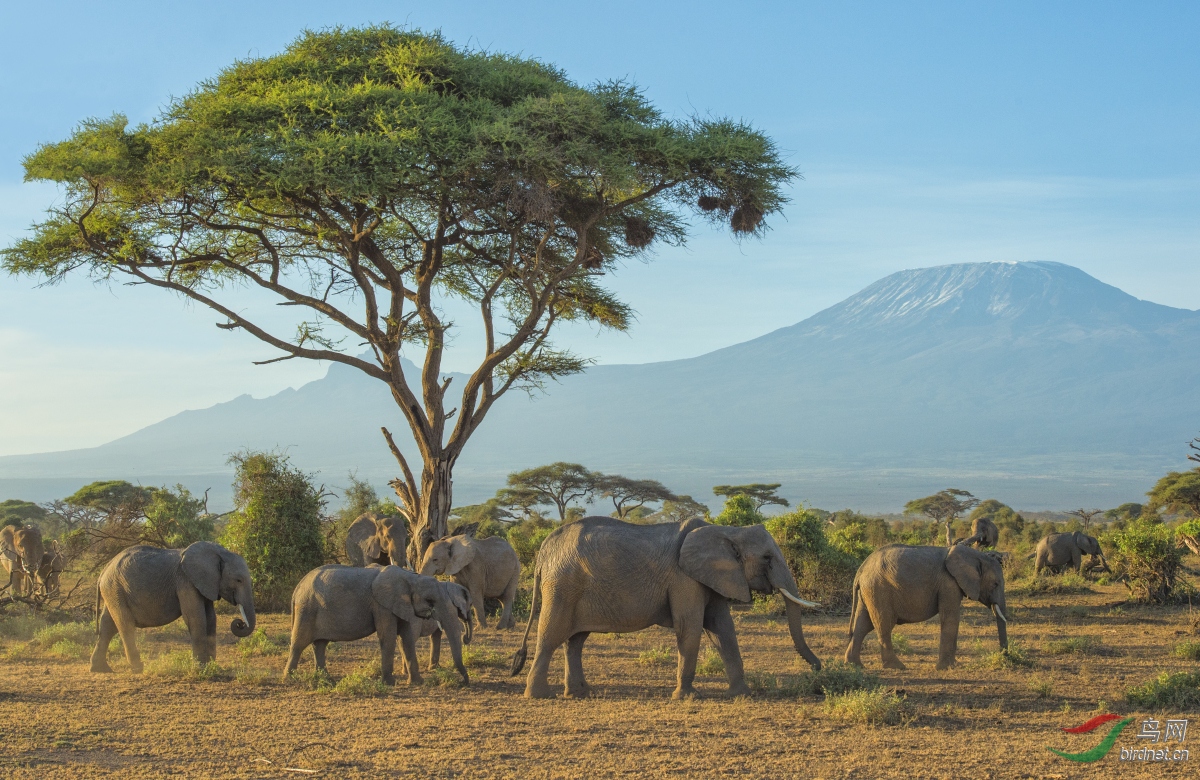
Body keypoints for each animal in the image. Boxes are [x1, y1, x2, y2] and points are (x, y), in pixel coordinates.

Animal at [90, 537, 255, 672]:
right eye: (239, 580)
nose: (239, 623)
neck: (219, 553)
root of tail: (104, 570)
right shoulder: (186, 581)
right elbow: (196, 618)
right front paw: (201, 668)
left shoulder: (206, 584)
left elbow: (210, 618)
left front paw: (212, 666)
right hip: (115, 588)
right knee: (125, 625)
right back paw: (138, 669)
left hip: (113, 591)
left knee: (108, 625)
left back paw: (101, 669)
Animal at [282, 561, 468, 681]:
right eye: (430, 601)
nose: (463, 681)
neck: (410, 578)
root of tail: (297, 588)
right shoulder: (381, 605)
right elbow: (388, 636)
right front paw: (389, 683)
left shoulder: (401, 605)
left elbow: (406, 638)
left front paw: (417, 682)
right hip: (306, 609)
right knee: (299, 643)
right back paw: (289, 679)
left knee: (320, 644)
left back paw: (325, 679)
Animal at [511, 516, 820, 700]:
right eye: (767, 558)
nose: (817, 669)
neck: (726, 530)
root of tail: (543, 551)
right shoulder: (684, 578)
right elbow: (690, 627)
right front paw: (687, 697)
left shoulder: (712, 577)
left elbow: (723, 629)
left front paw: (742, 694)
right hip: (562, 585)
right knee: (550, 636)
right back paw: (538, 695)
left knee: (575, 641)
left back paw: (580, 694)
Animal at [844, 540, 1012, 667]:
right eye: (995, 584)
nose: (1005, 655)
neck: (974, 555)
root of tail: (861, 570)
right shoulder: (948, 583)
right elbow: (950, 618)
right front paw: (946, 667)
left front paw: (952, 665)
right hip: (879, 589)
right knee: (883, 625)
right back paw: (896, 666)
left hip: (869, 590)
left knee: (862, 625)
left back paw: (854, 665)